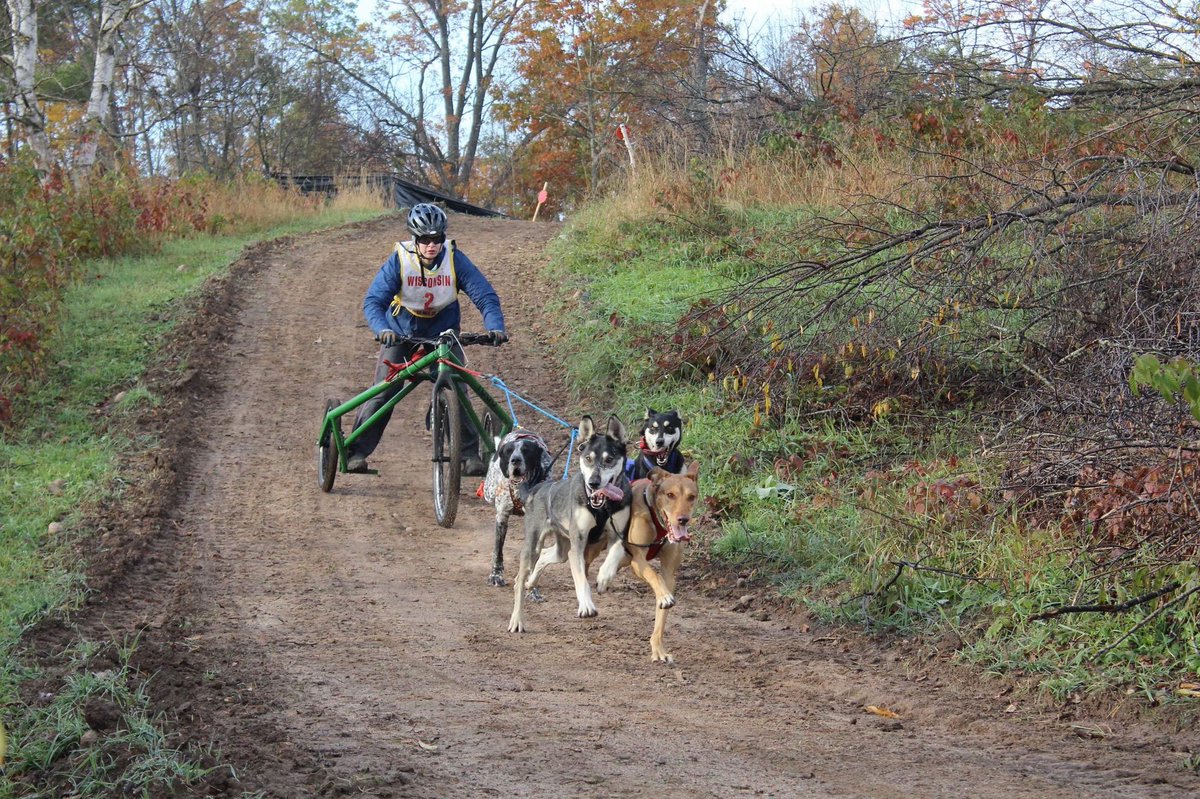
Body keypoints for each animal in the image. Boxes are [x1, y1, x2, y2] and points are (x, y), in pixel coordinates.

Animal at [477, 429, 552, 585]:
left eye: (526, 450)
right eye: (509, 451)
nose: (515, 460)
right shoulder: (501, 517)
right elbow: (498, 550)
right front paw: (496, 575)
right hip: (489, 491)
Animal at [508, 412, 638, 633]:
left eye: (609, 459)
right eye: (588, 459)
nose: (593, 483)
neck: (601, 508)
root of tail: (537, 489)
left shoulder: (618, 534)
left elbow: (614, 554)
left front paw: (604, 577)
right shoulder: (578, 544)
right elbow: (581, 580)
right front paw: (586, 606)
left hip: (561, 549)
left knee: (545, 556)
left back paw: (532, 582)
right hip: (534, 546)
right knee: (519, 579)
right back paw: (517, 619)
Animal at [595, 458, 700, 662]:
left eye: (691, 497)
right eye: (670, 495)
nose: (683, 519)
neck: (658, 519)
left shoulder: (669, 573)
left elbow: (662, 610)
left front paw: (658, 649)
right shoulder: (638, 561)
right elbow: (654, 575)